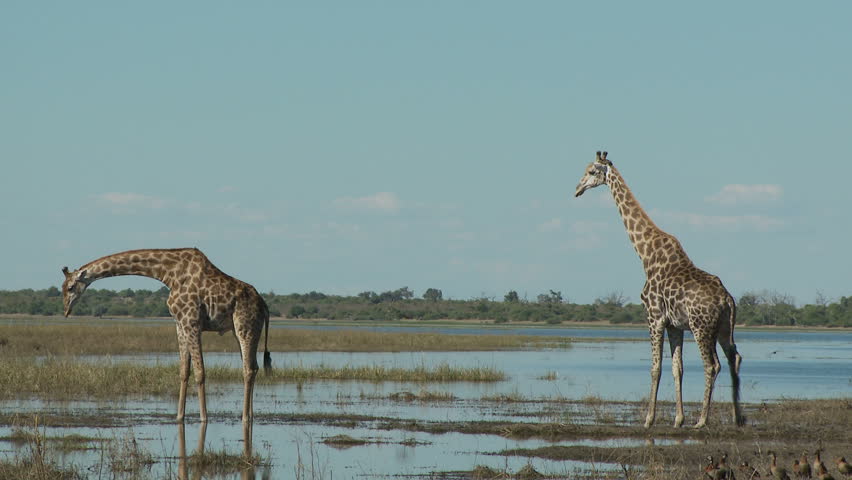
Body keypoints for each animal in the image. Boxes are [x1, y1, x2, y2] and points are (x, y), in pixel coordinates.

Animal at [61, 247, 271, 424]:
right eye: (62, 288)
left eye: (70, 287)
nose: (65, 311)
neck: (168, 274)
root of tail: (264, 305)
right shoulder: (180, 324)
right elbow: (184, 371)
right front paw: (179, 416)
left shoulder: (191, 322)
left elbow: (200, 372)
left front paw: (204, 418)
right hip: (242, 330)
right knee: (254, 367)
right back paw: (251, 415)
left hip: (245, 326)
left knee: (248, 369)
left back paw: (244, 417)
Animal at [574, 151, 744, 428]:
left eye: (591, 171)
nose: (577, 189)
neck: (645, 253)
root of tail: (726, 300)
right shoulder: (674, 324)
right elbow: (677, 368)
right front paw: (678, 419)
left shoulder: (653, 317)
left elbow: (656, 367)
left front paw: (649, 419)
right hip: (724, 327)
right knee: (734, 358)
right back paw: (738, 417)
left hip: (701, 327)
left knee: (711, 365)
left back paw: (702, 420)